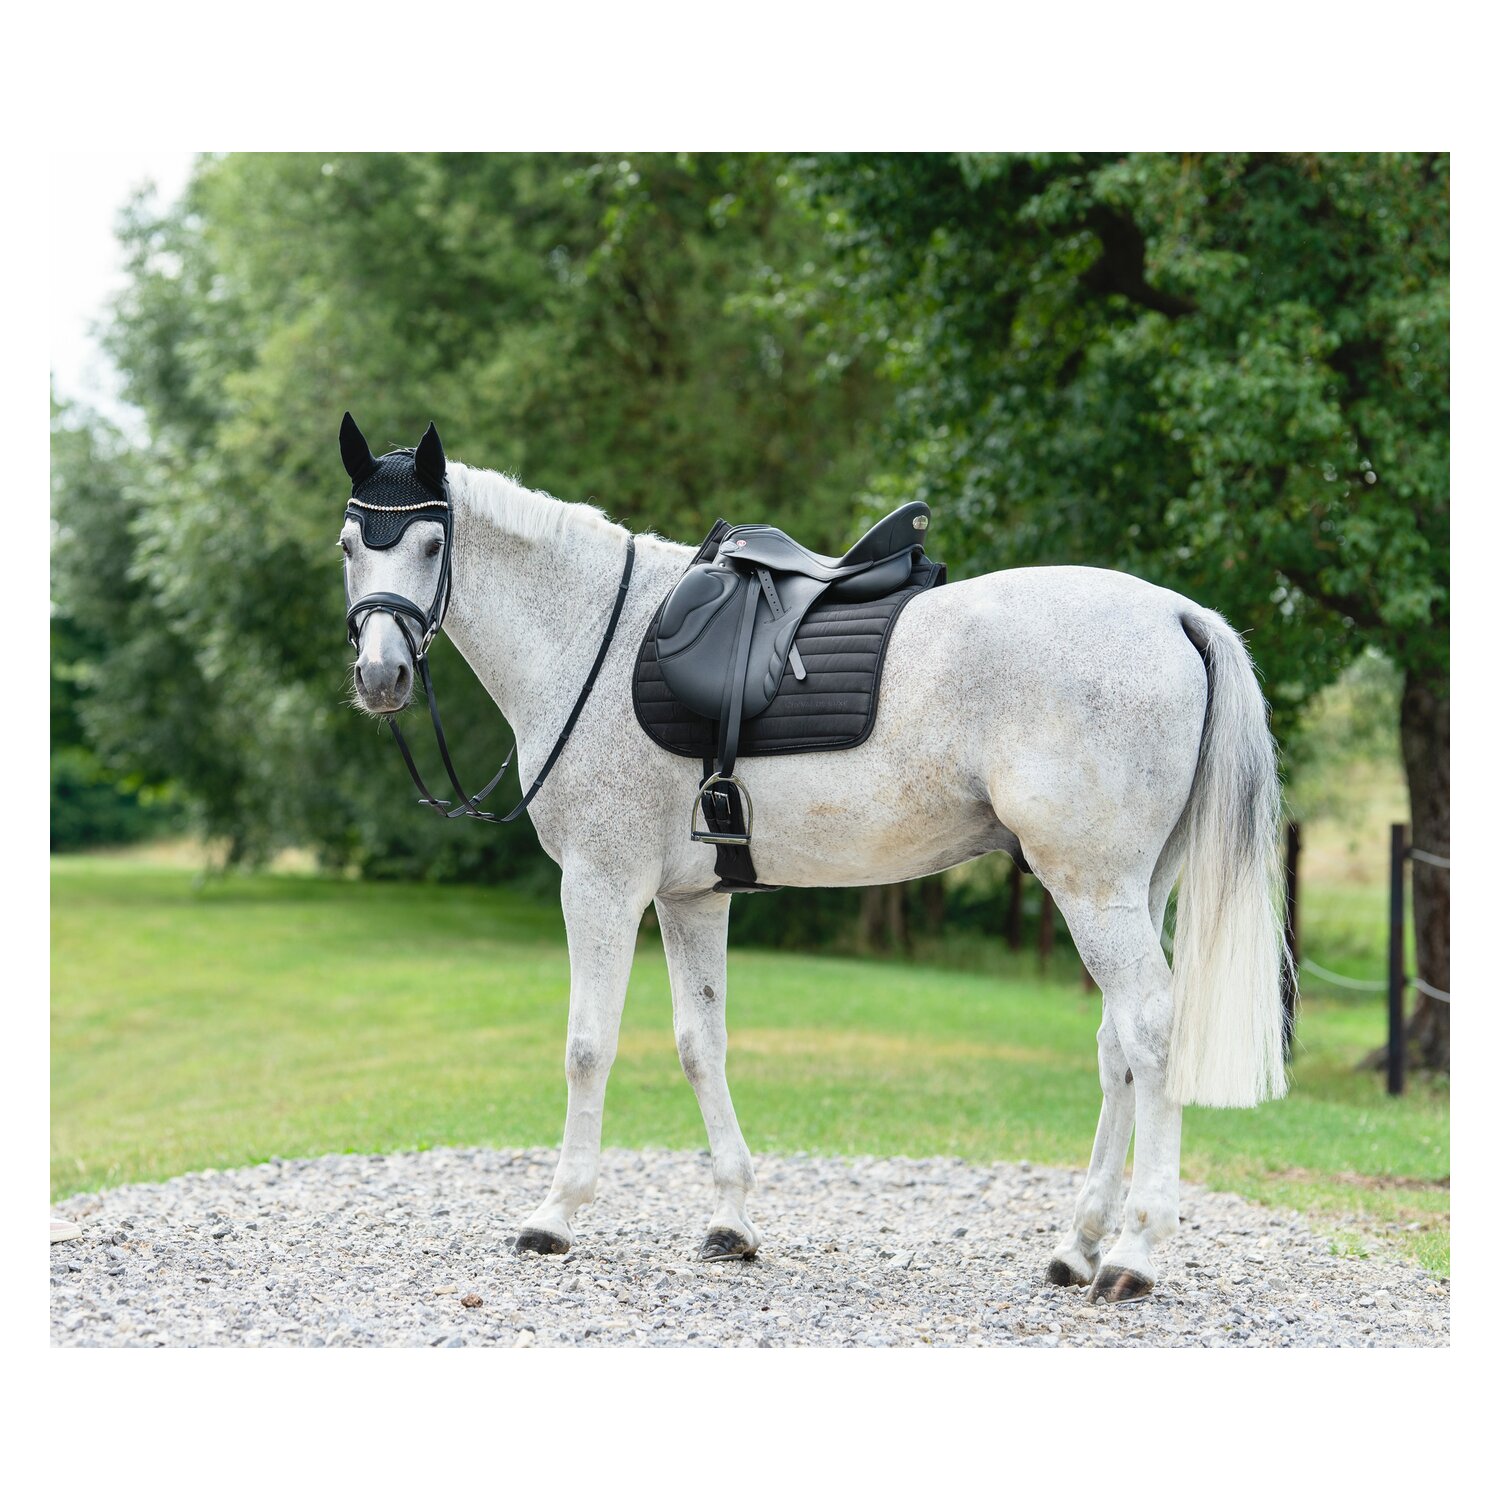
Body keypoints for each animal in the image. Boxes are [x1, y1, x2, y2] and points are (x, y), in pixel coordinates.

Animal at [338, 417, 1289, 1304]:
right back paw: (1077, 1244)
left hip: (1093, 891)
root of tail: (1175, 614)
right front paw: (730, 1219)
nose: (381, 677)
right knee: (1116, 1046)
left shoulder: (601, 884)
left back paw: (1133, 1254)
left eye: (431, 545)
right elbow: (701, 1044)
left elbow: (587, 1045)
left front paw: (555, 1215)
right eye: (351, 545)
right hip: (1133, 890)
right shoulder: (691, 899)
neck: (590, 639)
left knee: (1152, 1032)